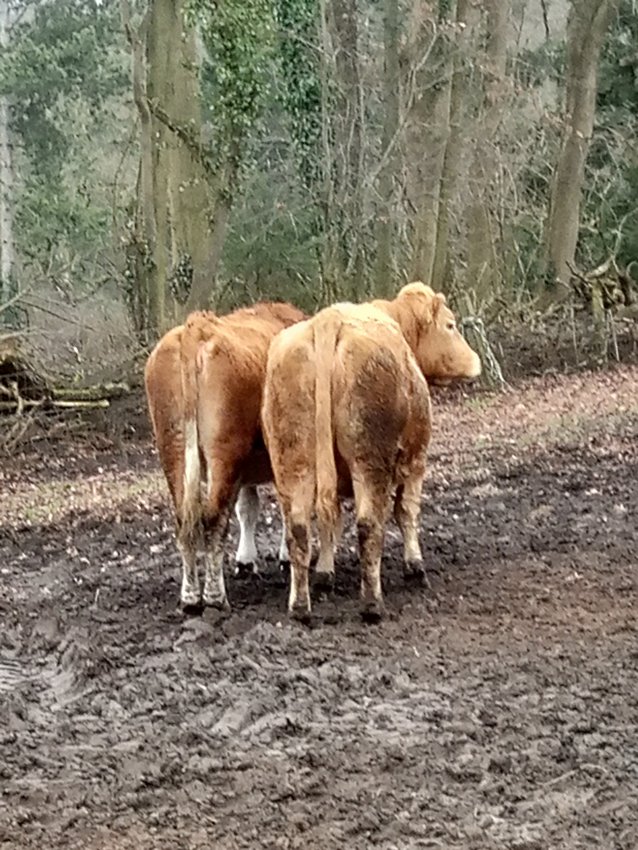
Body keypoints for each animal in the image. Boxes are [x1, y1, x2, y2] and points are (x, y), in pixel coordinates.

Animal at [146, 298, 308, 608]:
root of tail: (197, 328)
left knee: (185, 520)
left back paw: (189, 596)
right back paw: (214, 595)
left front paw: (246, 560)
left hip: (173, 451)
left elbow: (247, 508)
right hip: (224, 454)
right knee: (213, 520)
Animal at [262, 282, 482, 620]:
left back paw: (300, 607)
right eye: (450, 325)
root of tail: (327, 320)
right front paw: (415, 567)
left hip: (294, 460)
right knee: (369, 525)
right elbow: (406, 511)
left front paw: (325, 573)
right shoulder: (415, 461)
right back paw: (372, 604)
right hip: (369, 461)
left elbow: (331, 522)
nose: (475, 361)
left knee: (299, 528)